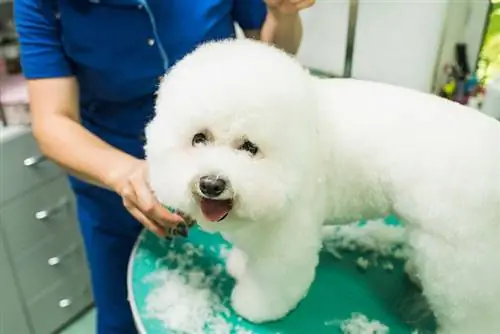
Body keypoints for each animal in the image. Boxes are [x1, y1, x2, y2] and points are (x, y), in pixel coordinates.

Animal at [145, 37, 500, 332]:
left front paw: (253, 306)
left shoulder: (289, 235)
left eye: (249, 147)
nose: (211, 184)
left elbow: (274, 280)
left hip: (460, 254)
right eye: (198, 138)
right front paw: (240, 265)